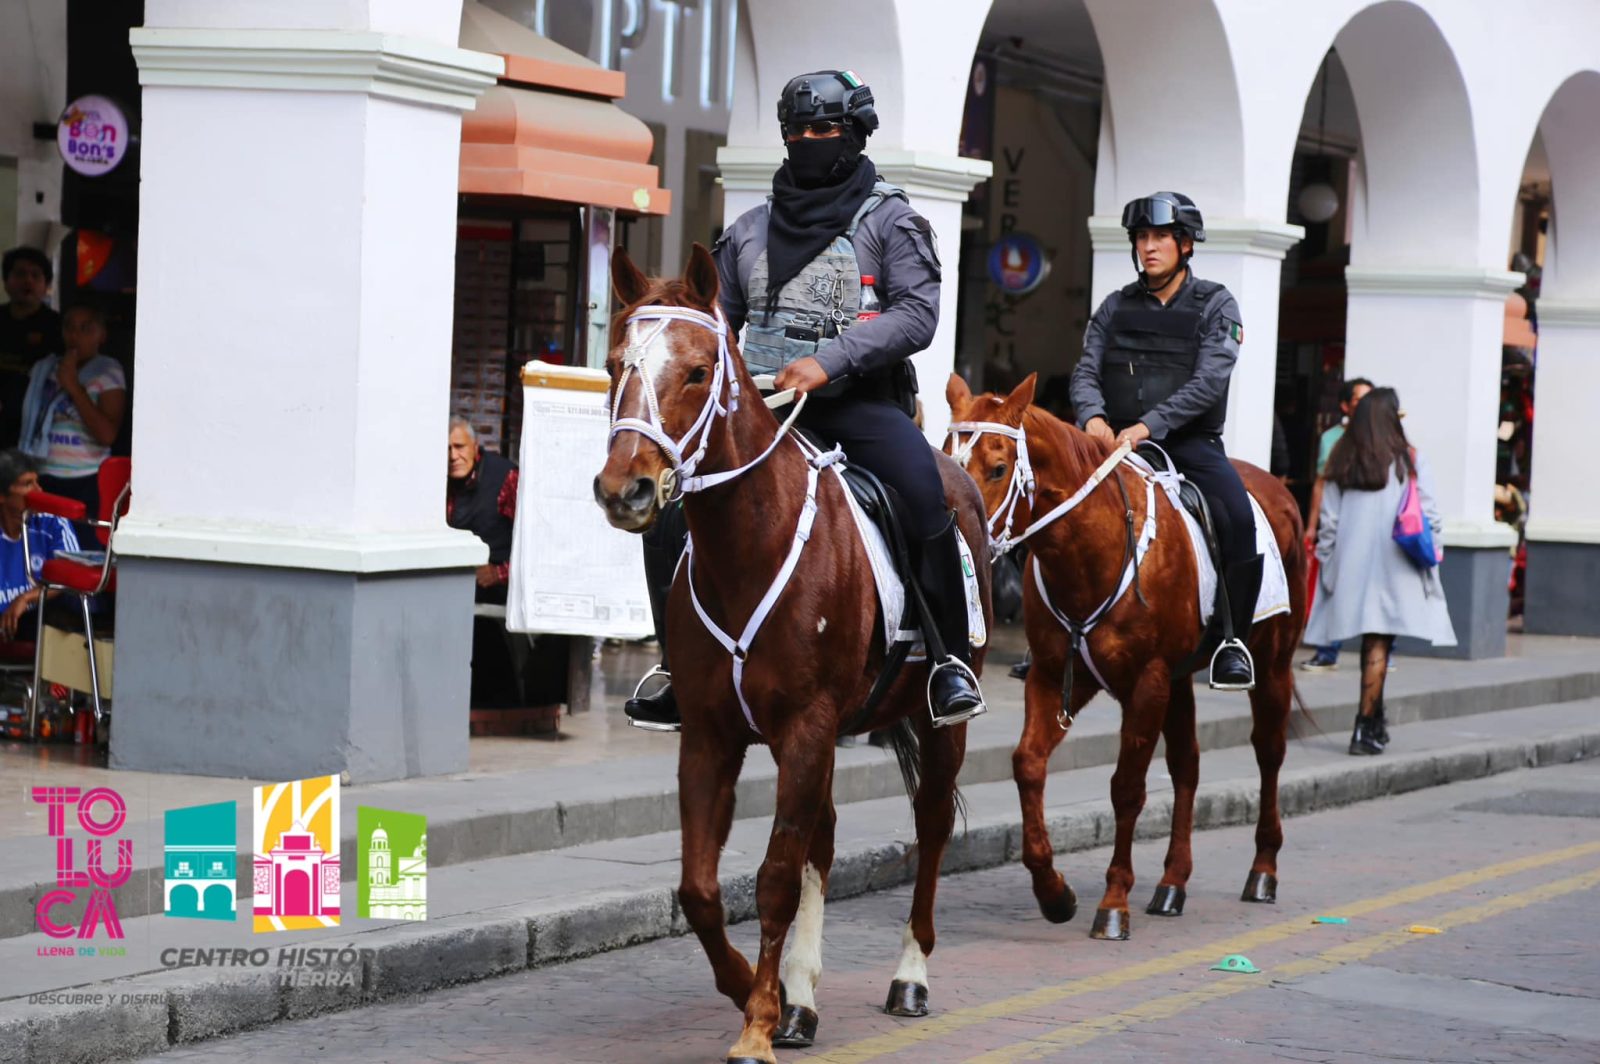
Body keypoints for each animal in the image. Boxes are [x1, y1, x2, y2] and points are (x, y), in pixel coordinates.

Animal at [592, 243, 985, 1062]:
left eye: (697, 371)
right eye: (615, 363)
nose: (626, 488)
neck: (750, 544)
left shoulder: (805, 726)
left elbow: (774, 876)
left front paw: (755, 1026)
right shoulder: (714, 734)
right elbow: (701, 889)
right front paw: (758, 992)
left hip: (937, 725)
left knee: (931, 825)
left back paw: (909, 978)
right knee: (824, 840)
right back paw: (801, 997)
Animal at [940, 371, 1305, 940]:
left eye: (998, 467)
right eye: (943, 451)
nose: (960, 528)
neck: (1096, 550)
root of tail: (1281, 490)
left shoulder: (1146, 683)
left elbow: (1127, 788)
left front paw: (1113, 903)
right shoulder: (1056, 676)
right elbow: (1028, 765)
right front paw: (1054, 893)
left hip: (1271, 665)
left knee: (1268, 751)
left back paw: (1262, 871)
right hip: (1178, 682)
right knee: (1186, 766)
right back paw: (1172, 884)